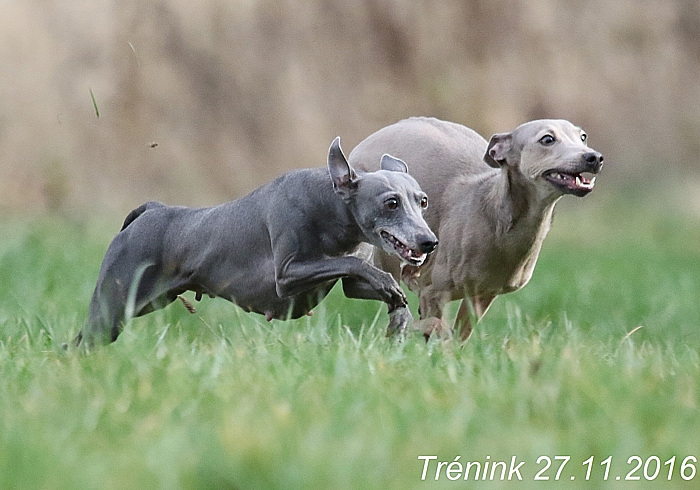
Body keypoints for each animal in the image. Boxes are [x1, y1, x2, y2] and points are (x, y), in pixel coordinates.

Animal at [76, 136, 438, 346]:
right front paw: (392, 291)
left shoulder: (350, 282)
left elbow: (366, 276)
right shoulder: (287, 275)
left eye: (422, 201)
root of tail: (151, 209)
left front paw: (399, 312)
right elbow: (350, 263)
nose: (428, 242)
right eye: (391, 203)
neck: (331, 206)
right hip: (111, 310)